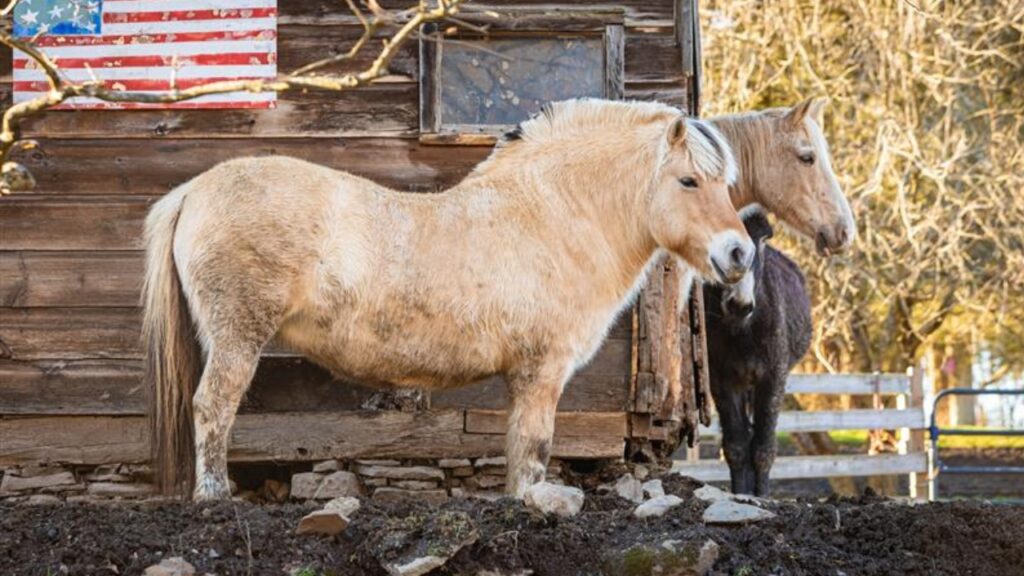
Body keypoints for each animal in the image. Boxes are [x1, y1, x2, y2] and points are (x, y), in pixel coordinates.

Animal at [142, 98, 754, 500]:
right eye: (688, 181)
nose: (740, 253)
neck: (549, 217)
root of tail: (194, 190)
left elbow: (518, 449)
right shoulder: (542, 372)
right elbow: (535, 449)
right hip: (237, 338)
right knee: (213, 407)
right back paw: (214, 496)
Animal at [703, 210, 812, 496]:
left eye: (763, 240)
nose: (740, 306)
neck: (742, 331)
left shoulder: (773, 376)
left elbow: (764, 446)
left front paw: (762, 495)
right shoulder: (723, 379)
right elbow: (736, 445)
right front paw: (740, 494)